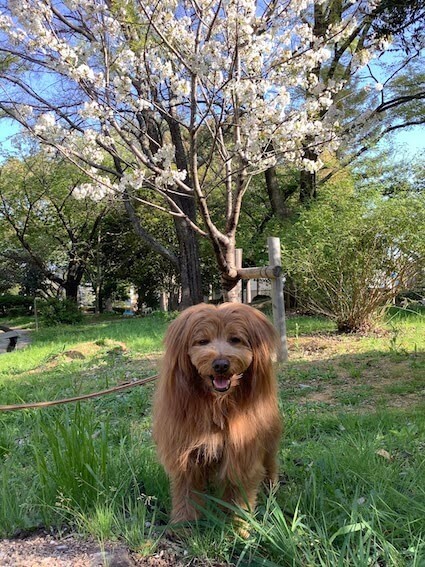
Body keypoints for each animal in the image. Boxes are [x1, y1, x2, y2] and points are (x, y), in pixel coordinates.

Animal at [152, 304, 282, 524]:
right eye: (203, 341)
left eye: (235, 339)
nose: (221, 364)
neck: (217, 404)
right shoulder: (186, 453)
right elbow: (186, 493)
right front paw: (183, 523)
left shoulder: (242, 452)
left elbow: (240, 494)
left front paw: (238, 525)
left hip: (268, 439)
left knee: (270, 463)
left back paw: (271, 490)